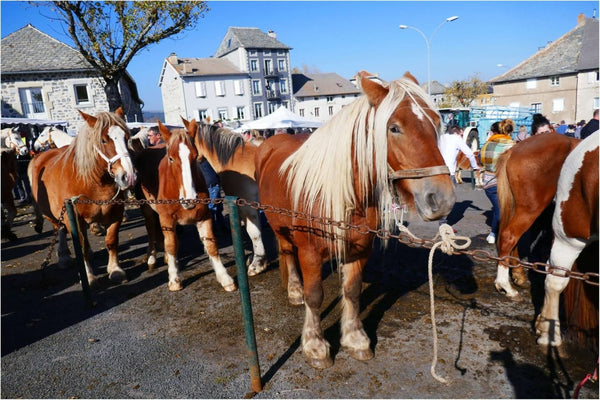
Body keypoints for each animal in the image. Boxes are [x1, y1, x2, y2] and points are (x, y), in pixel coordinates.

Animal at [28, 108, 136, 286]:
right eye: (103, 140)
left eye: (127, 137)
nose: (129, 177)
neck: (93, 182)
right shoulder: (72, 216)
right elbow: (80, 245)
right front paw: (89, 276)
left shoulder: (116, 214)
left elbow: (111, 241)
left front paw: (115, 269)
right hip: (52, 214)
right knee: (59, 230)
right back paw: (64, 257)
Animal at [134, 120, 237, 292]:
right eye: (170, 158)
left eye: (195, 157)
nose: (190, 199)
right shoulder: (167, 219)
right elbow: (171, 245)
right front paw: (174, 279)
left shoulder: (204, 217)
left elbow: (211, 244)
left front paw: (224, 277)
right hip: (147, 209)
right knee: (151, 229)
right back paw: (152, 257)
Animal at [253, 72, 454, 368]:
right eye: (394, 128)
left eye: (437, 123)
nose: (442, 199)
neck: (342, 195)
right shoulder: (310, 252)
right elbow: (315, 296)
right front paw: (315, 345)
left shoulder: (359, 250)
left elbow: (352, 291)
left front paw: (355, 338)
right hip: (279, 227)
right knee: (288, 253)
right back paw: (294, 289)